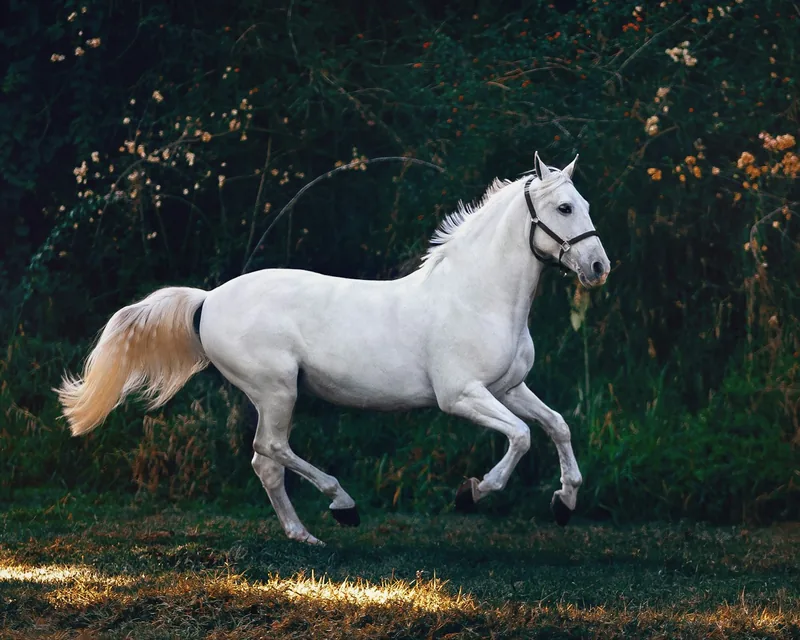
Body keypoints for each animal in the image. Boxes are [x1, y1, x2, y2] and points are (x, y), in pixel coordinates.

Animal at [58, 152, 610, 545]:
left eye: (585, 205)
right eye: (564, 207)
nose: (599, 267)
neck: (477, 296)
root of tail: (208, 299)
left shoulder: (509, 387)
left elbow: (556, 425)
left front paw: (564, 503)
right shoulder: (461, 396)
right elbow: (521, 436)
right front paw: (472, 493)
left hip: (275, 395)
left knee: (265, 462)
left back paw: (304, 535)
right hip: (277, 390)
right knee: (271, 450)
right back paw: (342, 506)